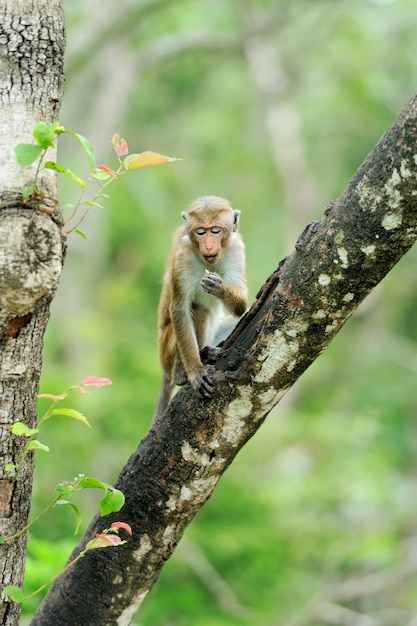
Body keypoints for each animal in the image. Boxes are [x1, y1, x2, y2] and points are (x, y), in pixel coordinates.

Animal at [154, 195, 247, 420]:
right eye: (201, 232)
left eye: (215, 230)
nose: (209, 246)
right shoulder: (182, 257)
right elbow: (179, 309)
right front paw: (195, 371)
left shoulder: (237, 249)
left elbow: (241, 307)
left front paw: (220, 287)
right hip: (167, 351)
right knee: (199, 310)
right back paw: (185, 371)